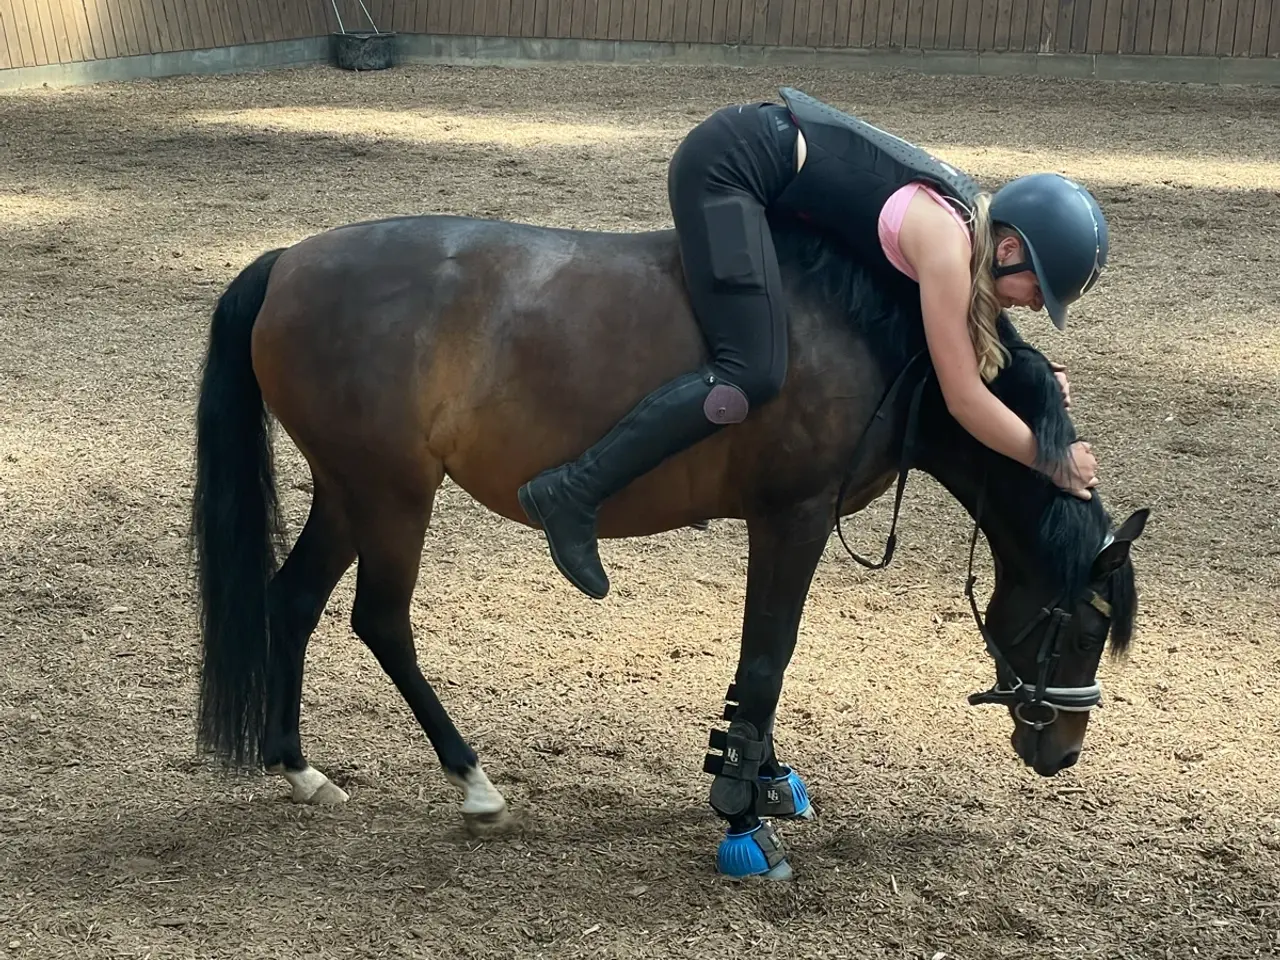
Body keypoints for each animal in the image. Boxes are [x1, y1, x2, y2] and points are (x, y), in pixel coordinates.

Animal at [189, 210, 1148, 881]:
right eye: (1084, 627)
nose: (1062, 753)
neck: (879, 336)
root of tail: (288, 264)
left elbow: (761, 666)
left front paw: (763, 776)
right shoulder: (792, 516)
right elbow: (767, 658)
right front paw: (742, 817)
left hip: (350, 492)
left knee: (293, 600)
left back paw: (298, 768)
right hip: (391, 493)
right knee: (381, 620)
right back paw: (472, 781)